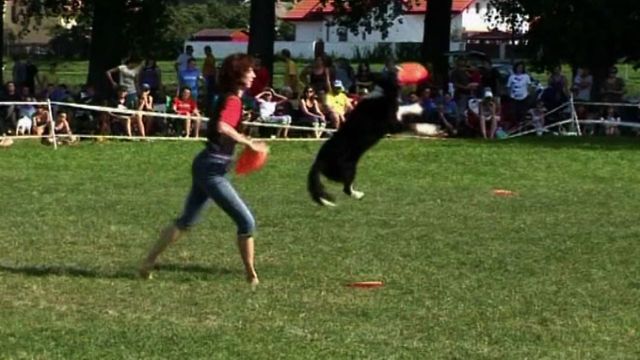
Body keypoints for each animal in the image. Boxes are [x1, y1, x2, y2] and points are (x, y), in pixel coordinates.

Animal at [308, 75, 422, 205]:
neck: (382, 93)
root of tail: (318, 161)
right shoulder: (392, 125)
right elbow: (409, 122)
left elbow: (404, 110)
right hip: (349, 168)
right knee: (346, 188)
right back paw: (358, 195)